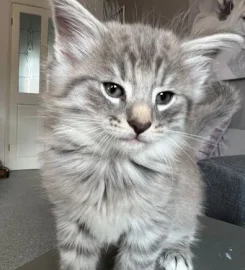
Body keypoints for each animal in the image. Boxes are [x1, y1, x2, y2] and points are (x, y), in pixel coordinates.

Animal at [41, 0, 242, 270]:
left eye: (164, 97)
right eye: (113, 89)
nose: (140, 124)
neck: (113, 169)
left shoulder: (150, 227)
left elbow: (136, 262)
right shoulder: (73, 222)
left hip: (185, 206)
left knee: (186, 229)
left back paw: (176, 251)